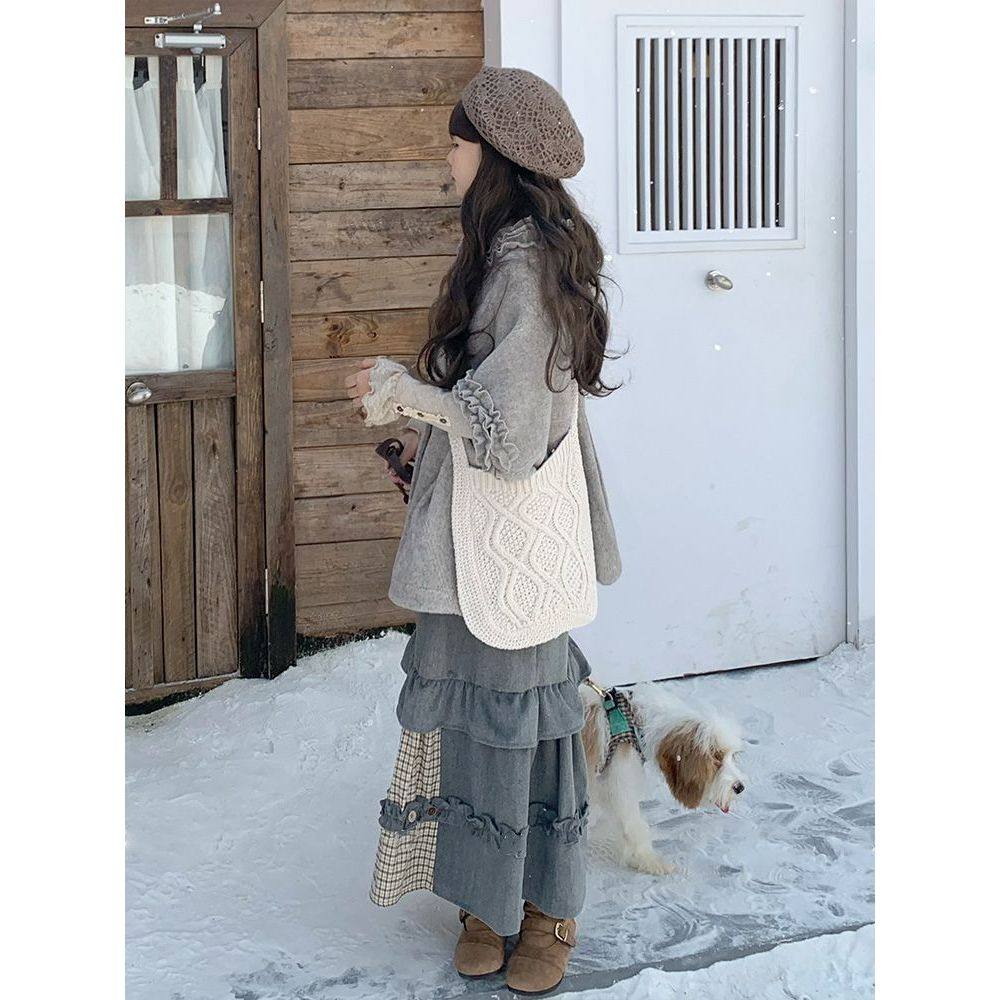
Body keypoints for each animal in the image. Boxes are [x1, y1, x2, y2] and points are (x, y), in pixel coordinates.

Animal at [580, 678, 746, 875]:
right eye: (716, 759)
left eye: (731, 756)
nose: (739, 787)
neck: (635, 723)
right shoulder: (621, 785)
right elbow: (634, 825)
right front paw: (649, 860)